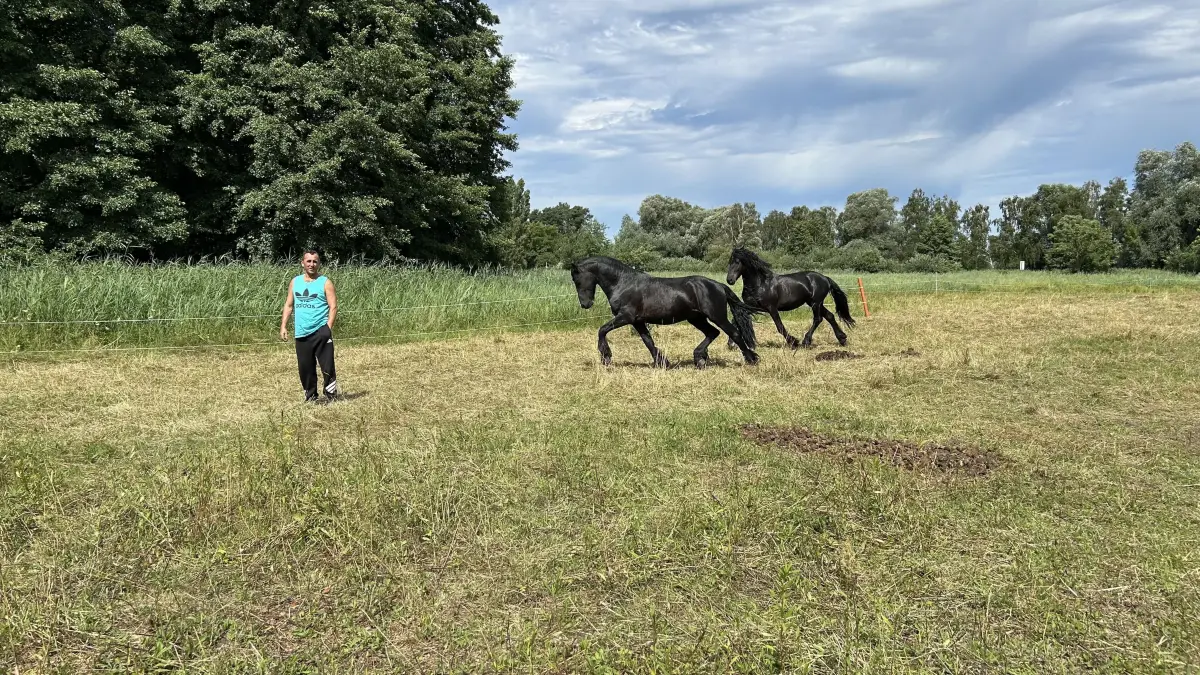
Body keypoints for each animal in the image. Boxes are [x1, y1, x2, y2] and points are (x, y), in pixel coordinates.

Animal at [569, 256, 763, 369]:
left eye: (577, 280)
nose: (586, 304)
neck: (623, 284)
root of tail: (719, 286)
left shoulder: (625, 317)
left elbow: (602, 330)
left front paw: (606, 357)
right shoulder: (637, 321)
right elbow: (648, 341)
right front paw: (662, 362)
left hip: (717, 316)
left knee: (734, 333)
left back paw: (751, 360)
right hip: (697, 318)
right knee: (712, 333)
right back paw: (699, 359)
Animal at [725, 247, 855, 350]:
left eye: (737, 262)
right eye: (729, 262)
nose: (729, 280)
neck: (760, 284)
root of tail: (825, 278)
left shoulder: (771, 308)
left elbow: (780, 326)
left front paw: (793, 342)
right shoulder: (750, 306)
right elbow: (736, 321)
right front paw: (731, 343)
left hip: (816, 303)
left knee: (818, 319)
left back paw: (806, 341)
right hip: (814, 303)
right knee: (829, 316)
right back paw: (842, 339)